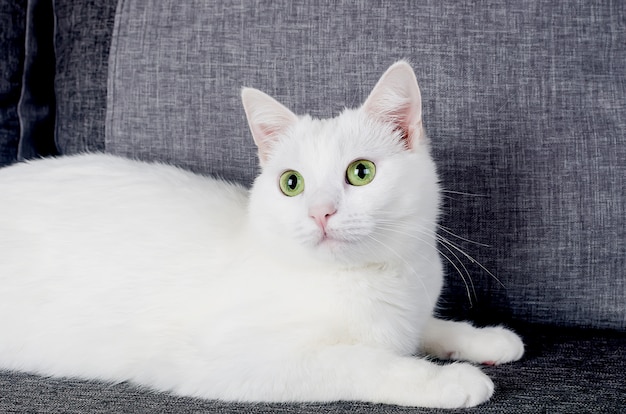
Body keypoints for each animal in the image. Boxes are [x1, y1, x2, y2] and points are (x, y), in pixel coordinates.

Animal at [0, 60, 520, 408]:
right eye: (291, 183)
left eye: (361, 173)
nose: (321, 212)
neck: (373, 279)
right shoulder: (235, 360)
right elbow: (361, 360)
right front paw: (448, 380)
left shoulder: (410, 311)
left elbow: (426, 327)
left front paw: (486, 340)